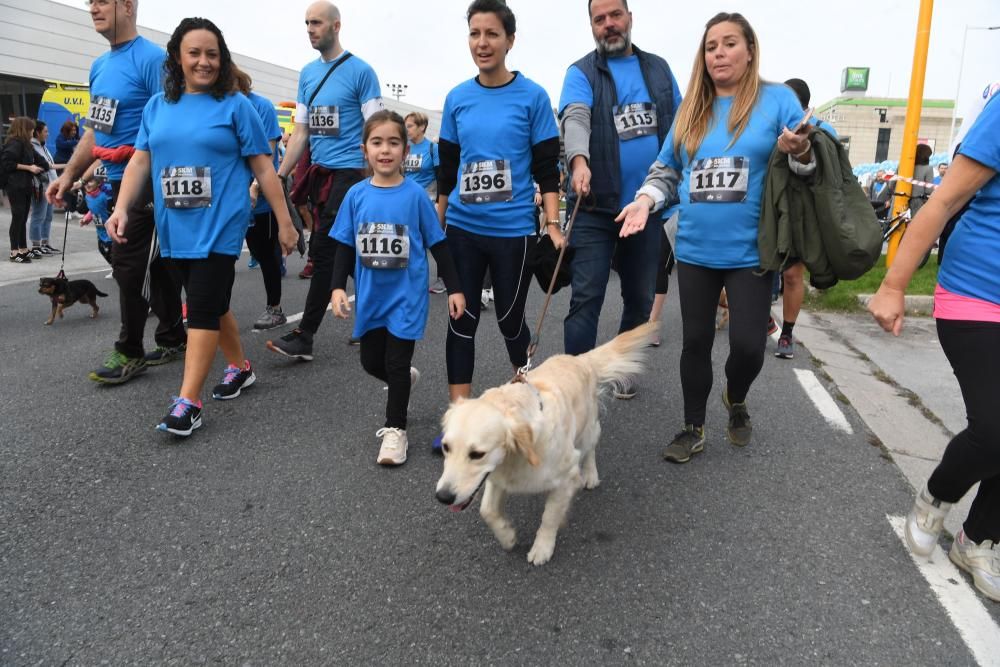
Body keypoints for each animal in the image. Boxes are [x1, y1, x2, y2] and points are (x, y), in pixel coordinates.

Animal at [436, 320, 656, 568]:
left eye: (477, 454)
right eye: (446, 447)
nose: (443, 497)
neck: (520, 454)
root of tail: (580, 359)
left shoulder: (566, 477)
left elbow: (549, 517)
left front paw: (542, 547)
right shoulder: (497, 475)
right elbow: (487, 511)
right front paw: (507, 535)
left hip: (587, 430)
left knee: (590, 448)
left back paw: (591, 475)